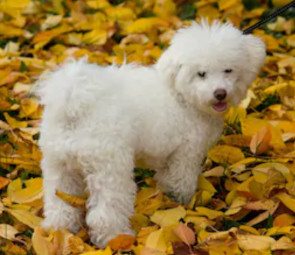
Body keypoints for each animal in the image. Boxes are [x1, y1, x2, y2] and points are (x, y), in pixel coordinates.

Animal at [37, 20, 266, 248]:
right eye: (201, 74)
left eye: (228, 70)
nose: (220, 93)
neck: (180, 94)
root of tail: (74, 103)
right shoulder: (186, 153)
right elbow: (181, 181)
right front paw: (182, 203)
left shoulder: (168, 155)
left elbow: (166, 178)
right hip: (109, 166)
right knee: (106, 211)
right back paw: (116, 238)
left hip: (58, 164)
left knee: (59, 202)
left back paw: (59, 233)